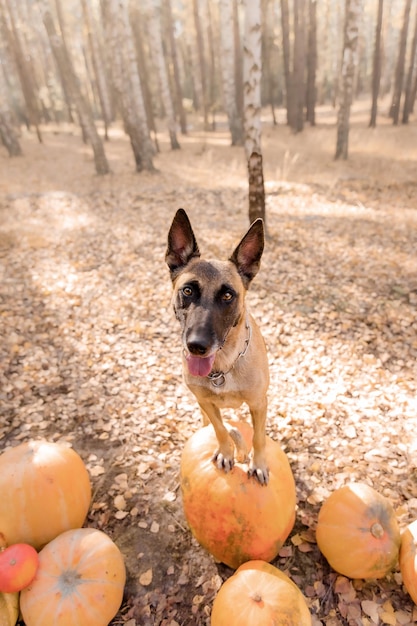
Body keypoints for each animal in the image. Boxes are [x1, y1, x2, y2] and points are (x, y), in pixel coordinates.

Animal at [166, 208, 270, 482]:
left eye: (227, 295)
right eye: (188, 291)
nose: (196, 346)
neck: (223, 367)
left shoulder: (258, 404)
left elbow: (258, 437)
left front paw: (258, 463)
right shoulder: (205, 402)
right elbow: (221, 429)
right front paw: (227, 452)